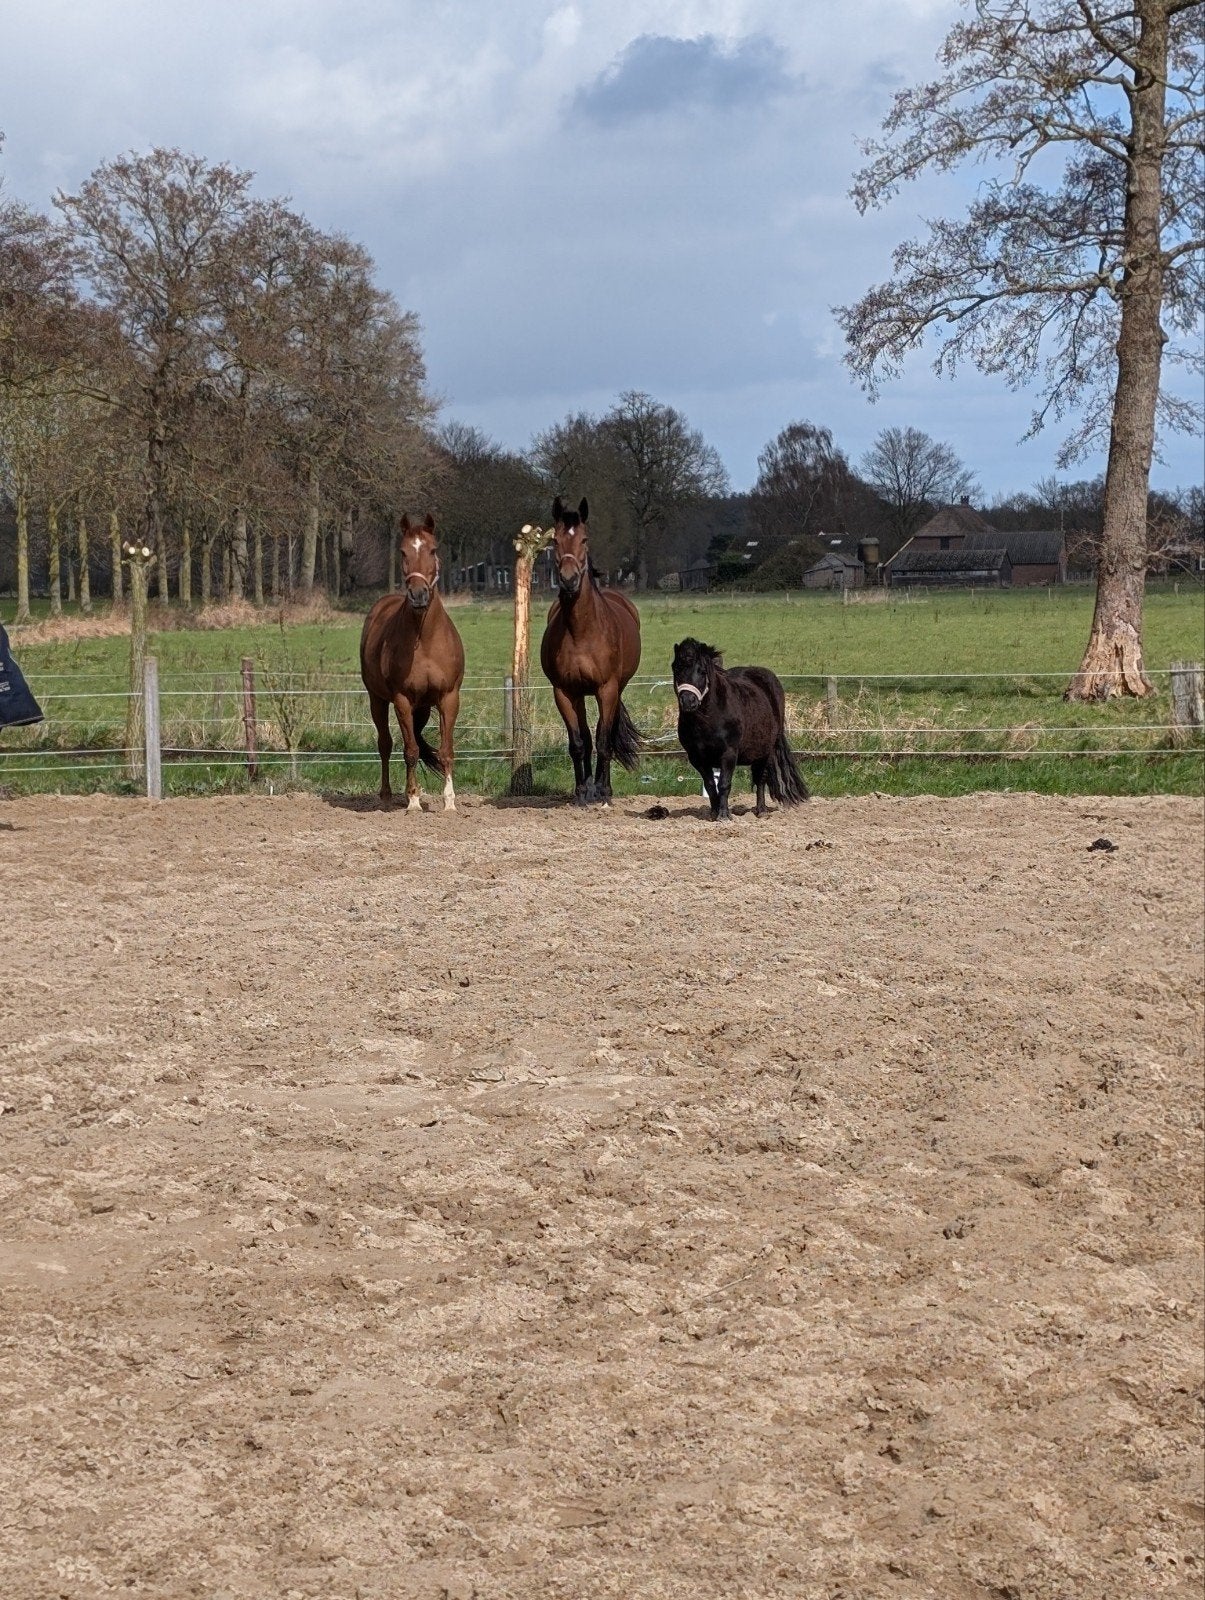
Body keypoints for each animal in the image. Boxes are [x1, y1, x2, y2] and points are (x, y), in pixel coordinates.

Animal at [360, 514, 465, 812]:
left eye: (433, 549)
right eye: (403, 552)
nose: (418, 595)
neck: (424, 639)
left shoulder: (448, 698)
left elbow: (446, 751)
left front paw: (449, 802)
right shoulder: (402, 700)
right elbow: (410, 751)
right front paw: (414, 801)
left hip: (424, 707)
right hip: (378, 700)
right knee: (385, 744)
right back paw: (386, 796)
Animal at [540, 496, 642, 805]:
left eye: (584, 539)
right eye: (556, 540)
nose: (569, 579)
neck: (581, 631)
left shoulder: (606, 689)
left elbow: (603, 740)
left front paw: (603, 791)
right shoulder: (563, 691)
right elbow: (578, 742)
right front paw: (582, 791)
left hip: (615, 689)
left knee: (603, 733)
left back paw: (602, 787)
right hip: (579, 694)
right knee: (585, 734)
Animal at [672, 637, 809, 821]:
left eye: (702, 671)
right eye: (676, 668)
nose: (688, 701)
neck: (709, 719)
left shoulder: (729, 753)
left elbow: (724, 784)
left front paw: (724, 815)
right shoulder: (697, 758)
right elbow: (710, 785)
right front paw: (714, 813)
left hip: (766, 752)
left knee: (760, 779)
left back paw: (761, 810)